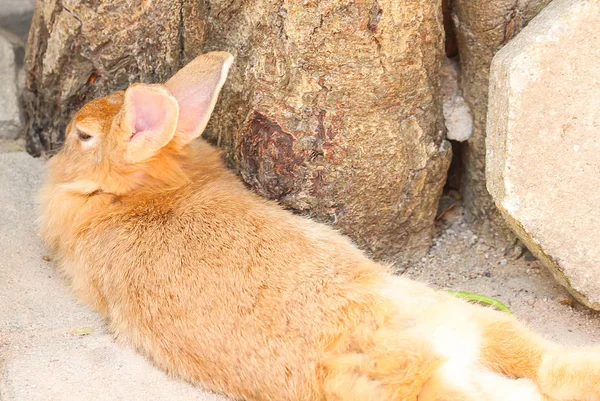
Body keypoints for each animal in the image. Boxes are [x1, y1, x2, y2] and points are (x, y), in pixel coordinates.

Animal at [39, 50, 600, 400]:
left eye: (83, 136)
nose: (62, 140)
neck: (148, 190)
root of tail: (432, 356)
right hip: (469, 318)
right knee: (543, 368)